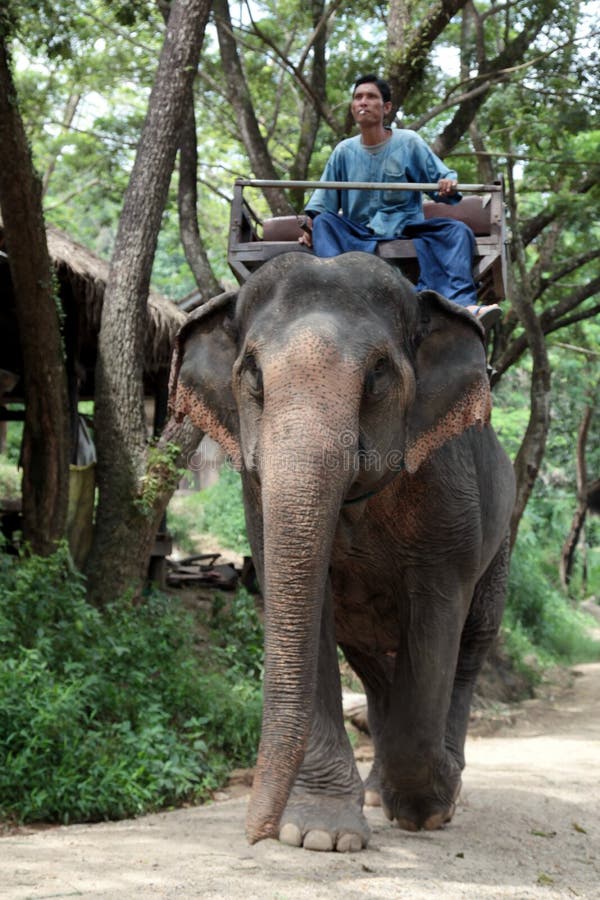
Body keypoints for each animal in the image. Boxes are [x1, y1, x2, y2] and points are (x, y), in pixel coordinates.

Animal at [169, 251, 516, 852]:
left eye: (376, 373)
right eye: (253, 372)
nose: (254, 835)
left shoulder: (450, 493)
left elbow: (437, 621)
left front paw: (427, 808)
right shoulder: (258, 497)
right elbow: (309, 609)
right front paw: (318, 835)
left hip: (504, 536)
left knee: (471, 643)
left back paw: (438, 789)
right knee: (374, 668)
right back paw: (378, 793)